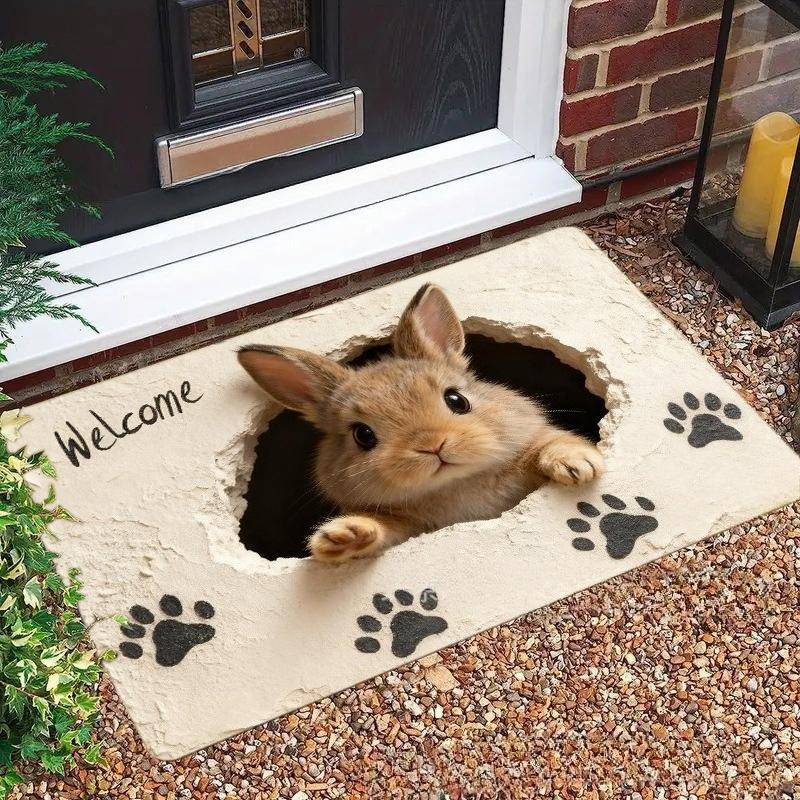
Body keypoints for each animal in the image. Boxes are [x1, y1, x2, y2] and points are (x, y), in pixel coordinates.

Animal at [238, 284, 604, 564]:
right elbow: (383, 531)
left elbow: (551, 443)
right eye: (363, 435)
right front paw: (342, 537)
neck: (455, 484)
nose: (433, 445)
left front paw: (577, 465)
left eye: (456, 400)